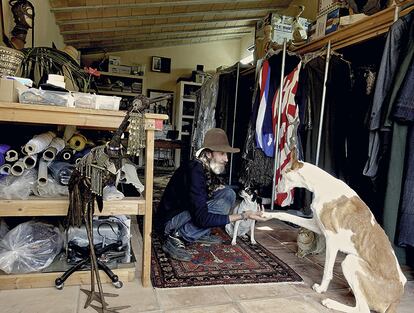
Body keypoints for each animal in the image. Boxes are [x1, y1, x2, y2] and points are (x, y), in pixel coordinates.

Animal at [264, 153, 406, 312]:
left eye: (282, 174)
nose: (275, 188)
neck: (321, 184)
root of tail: (396, 299)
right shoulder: (316, 225)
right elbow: (285, 215)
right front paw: (266, 215)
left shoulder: (331, 239)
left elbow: (327, 270)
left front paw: (321, 288)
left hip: (351, 262)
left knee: (362, 309)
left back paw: (330, 302)